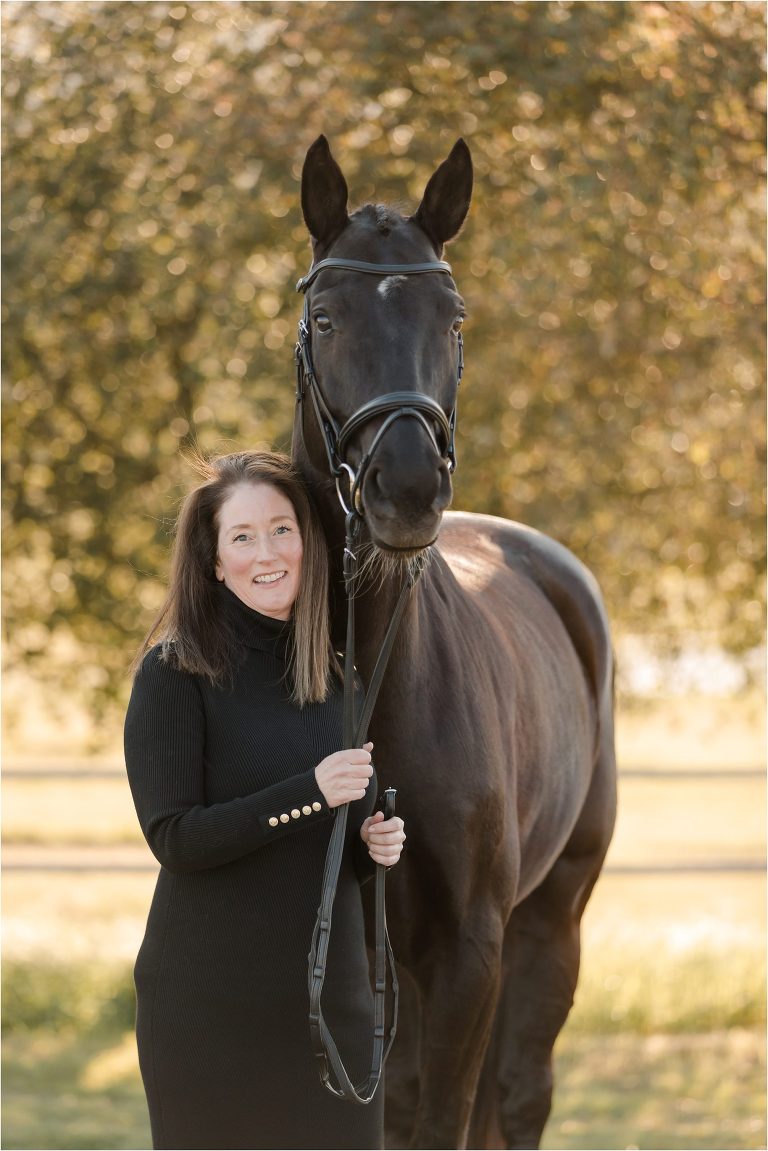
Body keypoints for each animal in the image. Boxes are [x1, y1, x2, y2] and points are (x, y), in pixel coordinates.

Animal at [290, 135, 617, 1150]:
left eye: (454, 314)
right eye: (325, 315)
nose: (405, 488)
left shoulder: (471, 949)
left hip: (550, 918)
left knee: (517, 1092)